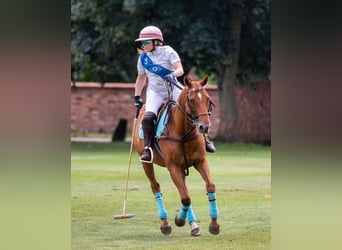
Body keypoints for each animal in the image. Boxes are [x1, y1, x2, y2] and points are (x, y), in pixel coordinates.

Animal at [134, 76, 219, 236]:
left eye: (208, 99)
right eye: (191, 100)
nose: (204, 127)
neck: (184, 133)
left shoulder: (200, 161)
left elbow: (210, 186)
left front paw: (214, 225)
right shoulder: (173, 167)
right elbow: (185, 197)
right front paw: (179, 220)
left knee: (184, 188)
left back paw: (193, 225)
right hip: (146, 163)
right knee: (155, 186)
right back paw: (165, 223)